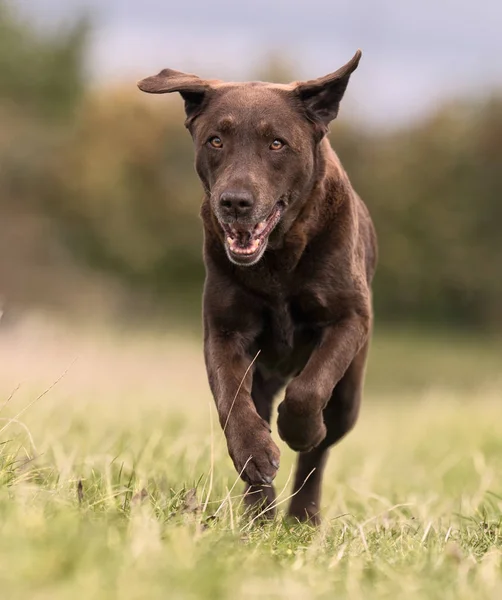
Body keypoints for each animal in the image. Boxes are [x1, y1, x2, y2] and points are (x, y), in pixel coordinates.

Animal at [138, 50, 376, 520]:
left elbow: (308, 389)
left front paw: (300, 430)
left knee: (321, 450)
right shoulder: (225, 331)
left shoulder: (349, 317)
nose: (234, 202)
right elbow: (231, 400)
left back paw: (302, 515)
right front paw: (255, 456)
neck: (278, 261)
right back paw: (259, 514)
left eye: (276, 144)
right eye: (216, 140)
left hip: (349, 395)